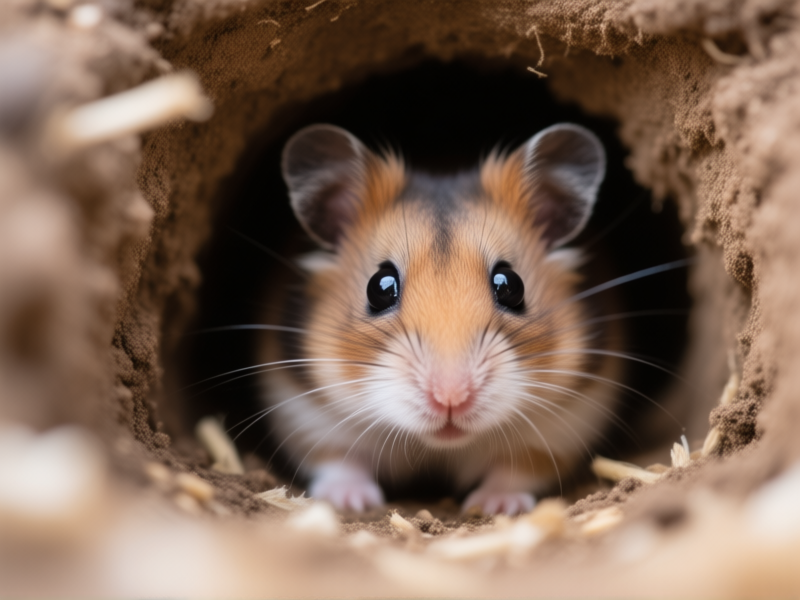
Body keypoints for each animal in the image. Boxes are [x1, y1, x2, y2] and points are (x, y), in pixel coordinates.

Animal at [258, 122, 622, 515]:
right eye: (379, 287)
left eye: (510, 285)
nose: (451, 398)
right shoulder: (307, 417)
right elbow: (339, 460)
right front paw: (352, 501)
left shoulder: (561, 429)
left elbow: (517, 469)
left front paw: (495, 506)